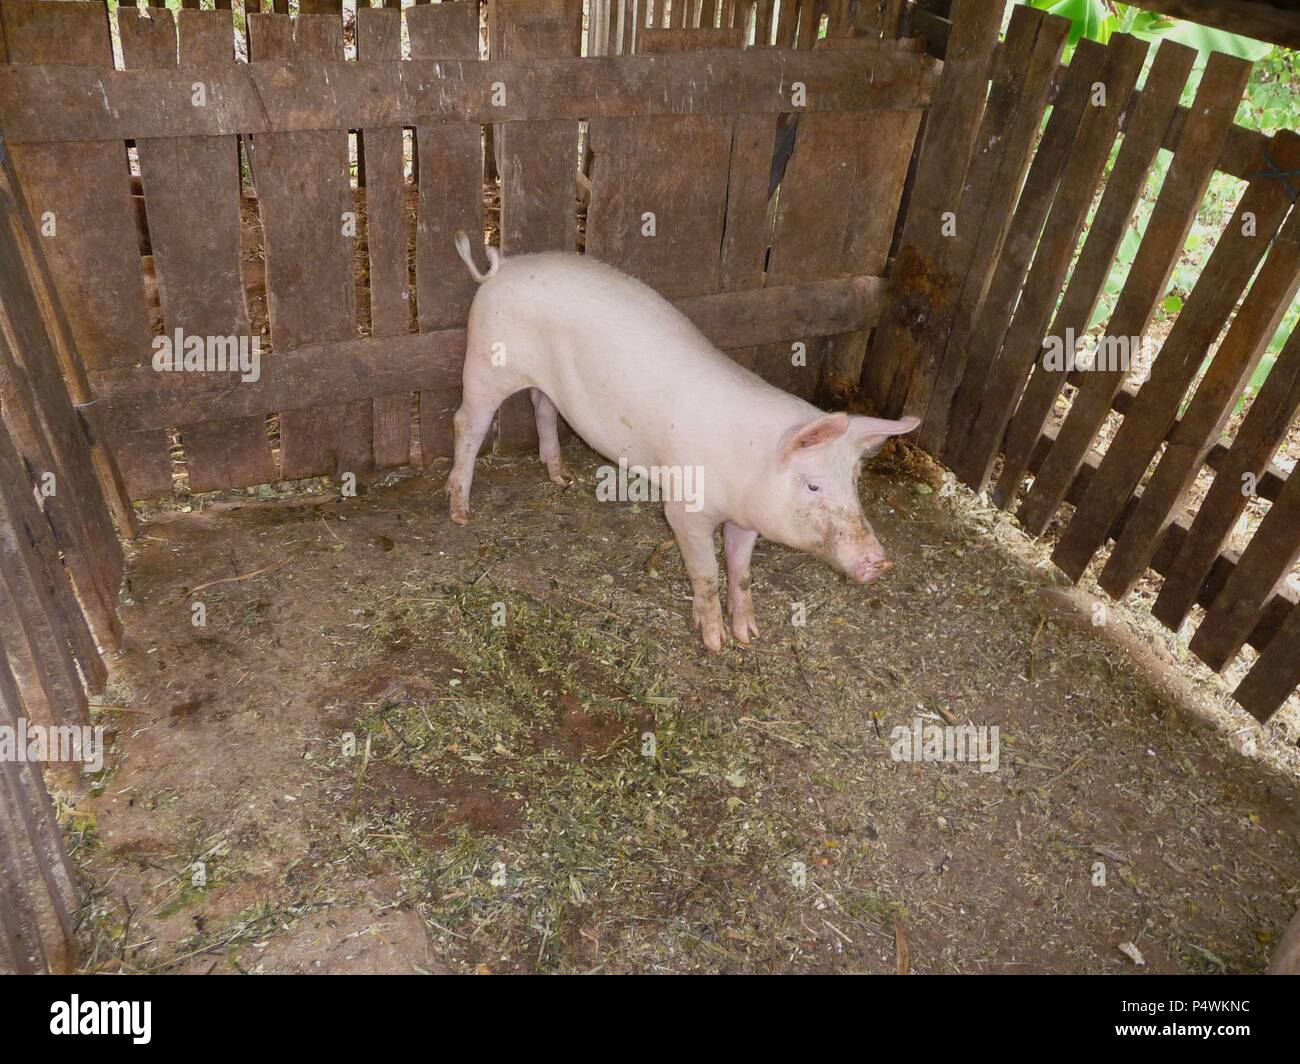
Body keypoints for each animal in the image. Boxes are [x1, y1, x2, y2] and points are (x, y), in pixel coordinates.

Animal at [452, 231, 920, 647]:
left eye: (853, 482)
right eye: (813, 485)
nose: (881, 560)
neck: (746, 470)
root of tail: (502, 269)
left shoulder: (747, 520)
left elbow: (741, 572)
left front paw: (749, 635)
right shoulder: (683, 510)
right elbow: (706, 573)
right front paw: (715, 643)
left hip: (542, 384)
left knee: (542, 404)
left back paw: (561, 479)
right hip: (484, 363)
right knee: (466, 424)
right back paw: (461, 513)